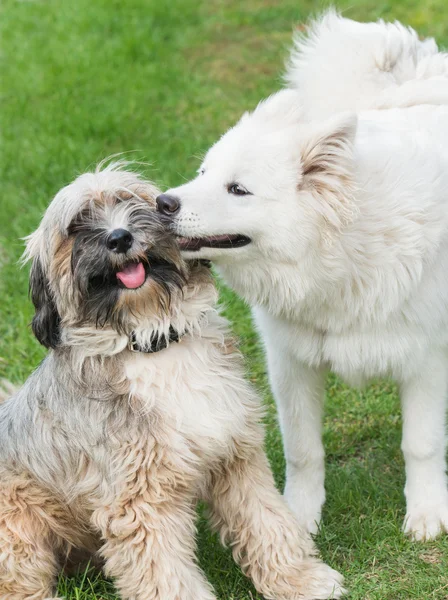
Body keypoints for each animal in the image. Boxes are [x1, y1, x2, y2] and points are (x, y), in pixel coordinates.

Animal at [157, 11, 448, 540]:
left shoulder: (425, 363)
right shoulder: (291, 364)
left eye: (238, 189)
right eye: (203, 172)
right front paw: (299, 516)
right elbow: (303, 449)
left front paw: (426, 514)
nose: (162, 202)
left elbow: (420, 444)